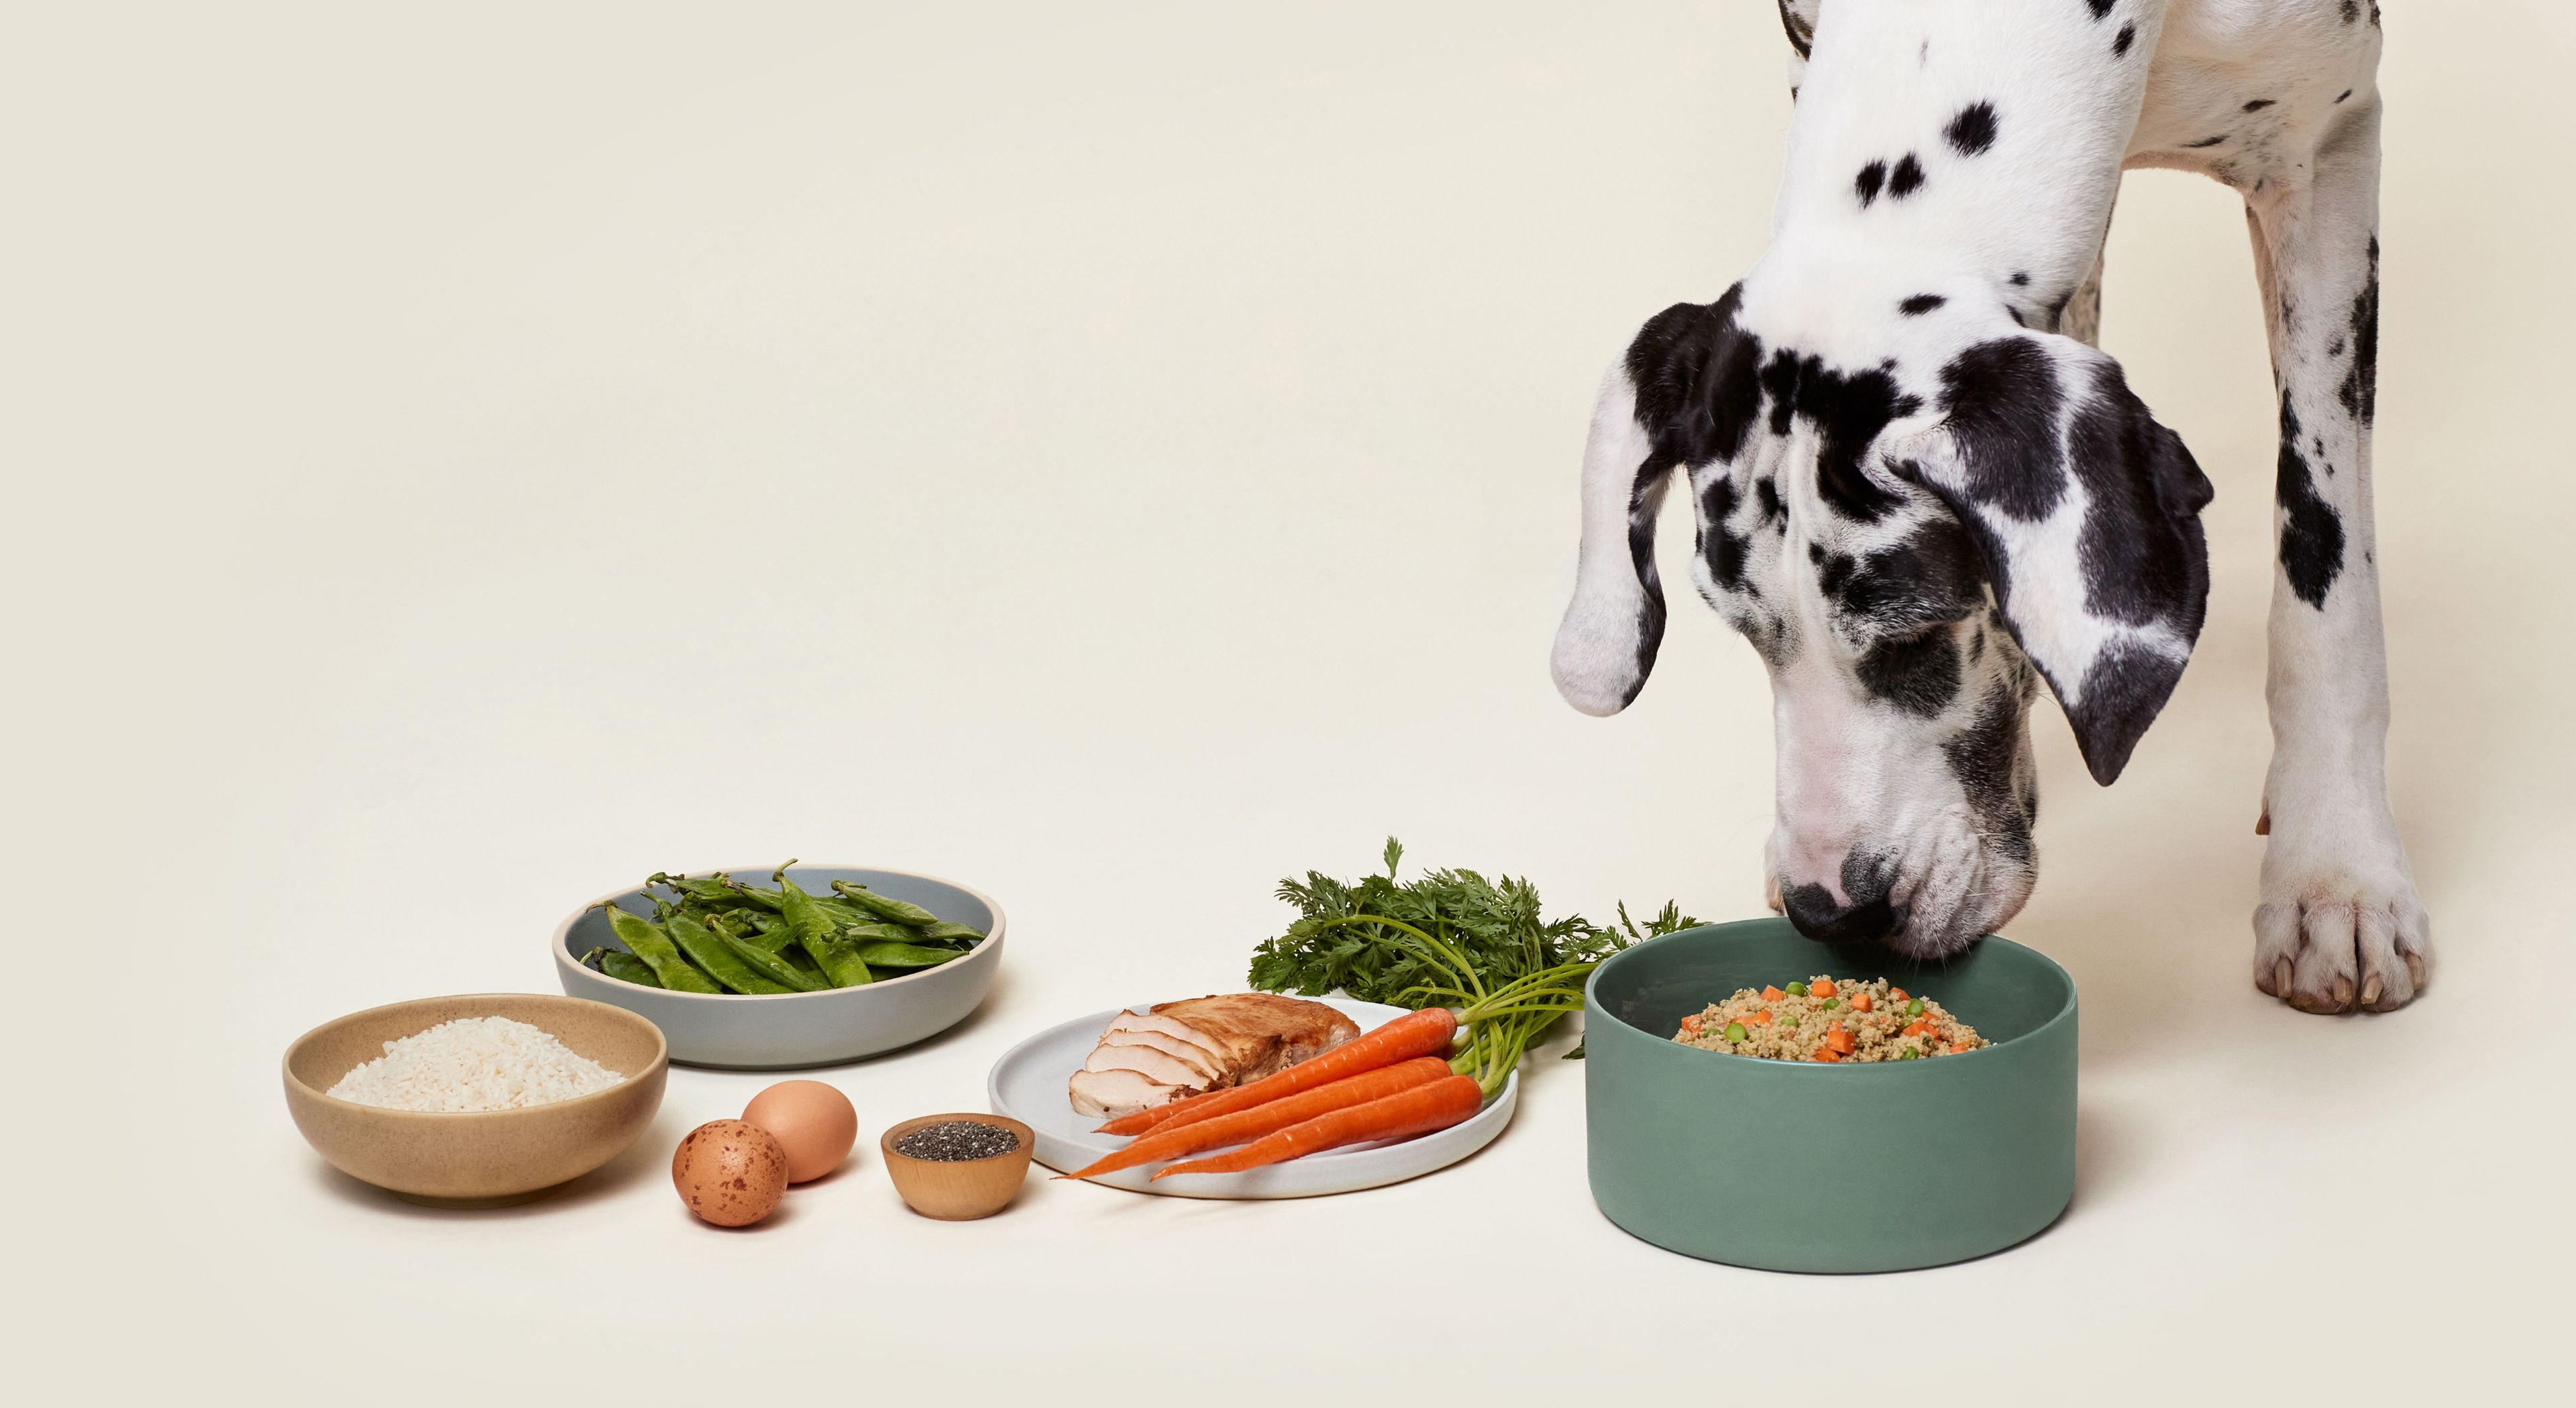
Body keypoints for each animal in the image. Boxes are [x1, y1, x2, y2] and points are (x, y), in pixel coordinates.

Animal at [1546, 0, 2431, 1014]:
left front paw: (2338, 868)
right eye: (1744, 632)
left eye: (1923, 633)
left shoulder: (2326, 147)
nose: (1827, 910)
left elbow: (2328, 573)